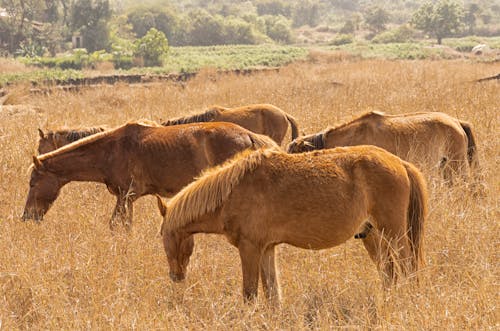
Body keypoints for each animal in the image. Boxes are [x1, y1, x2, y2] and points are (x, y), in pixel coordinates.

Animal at [22, 120, 278, 230]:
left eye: (33, 183)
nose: (27, 216)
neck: (110, 151)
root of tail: (249, 136)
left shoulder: (125, 196)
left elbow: (118, 226)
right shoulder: (126, 199)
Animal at [159, 147, 426, 304]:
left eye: (163, 236)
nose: (175, 276)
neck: (232, 192)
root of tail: (399, 162)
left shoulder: (250, 249)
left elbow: (250, 294)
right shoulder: (266, 249)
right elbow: (272, 294)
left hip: (394, 234)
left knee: (408, 268)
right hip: (372, 236)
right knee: (389, 272)